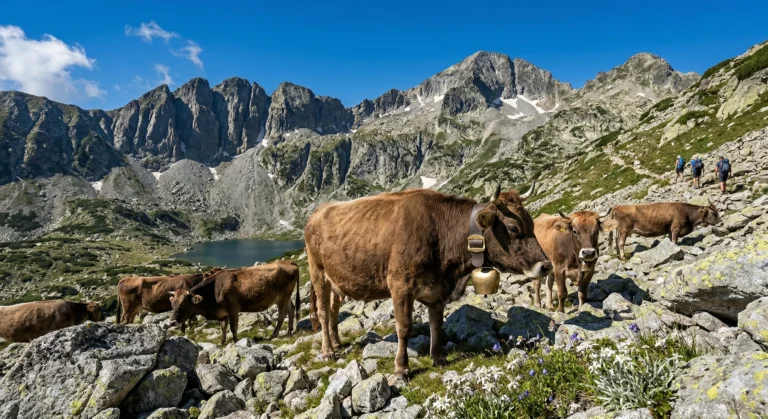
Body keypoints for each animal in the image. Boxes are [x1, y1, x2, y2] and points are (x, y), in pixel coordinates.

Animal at [168, 260, 301, 344]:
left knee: (282, 314)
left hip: (283, 295)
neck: (214, 289)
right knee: (291, 309)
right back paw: (289, 331)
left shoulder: (233, 309)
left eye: (183, 304)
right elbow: (222, 328)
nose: (172, 322)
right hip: (285, 296)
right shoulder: (223, 313)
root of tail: (289, 262)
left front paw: (236, 341)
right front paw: (222, 342)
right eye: (172, 304)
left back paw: (274, 334)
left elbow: (233, 328)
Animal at [305, 185, 552, 378]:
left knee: (334, 310)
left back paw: (337, 342)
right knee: (324, 312)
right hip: (318, 272)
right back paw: (328, 351)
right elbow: (404, 328)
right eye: (512, 228)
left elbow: (436, 324)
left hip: (337, 281)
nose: (546, 266)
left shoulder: (438, 289)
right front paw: (401, 368)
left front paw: (438, 357)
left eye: (532, 224)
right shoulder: (400, 285)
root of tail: (319, 211)